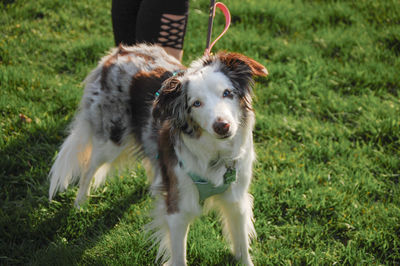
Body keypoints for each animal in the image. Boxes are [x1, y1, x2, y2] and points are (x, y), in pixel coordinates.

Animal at [49, 44, 268, 264]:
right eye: (196, 103)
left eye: (227, 93)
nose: (222, 126)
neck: (215, 155)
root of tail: (117, 53)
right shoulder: (178, 209)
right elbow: (179, 256)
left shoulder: (236, 200)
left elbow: (242, 245)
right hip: (111, 141)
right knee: (88, 169)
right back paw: (80, 204)